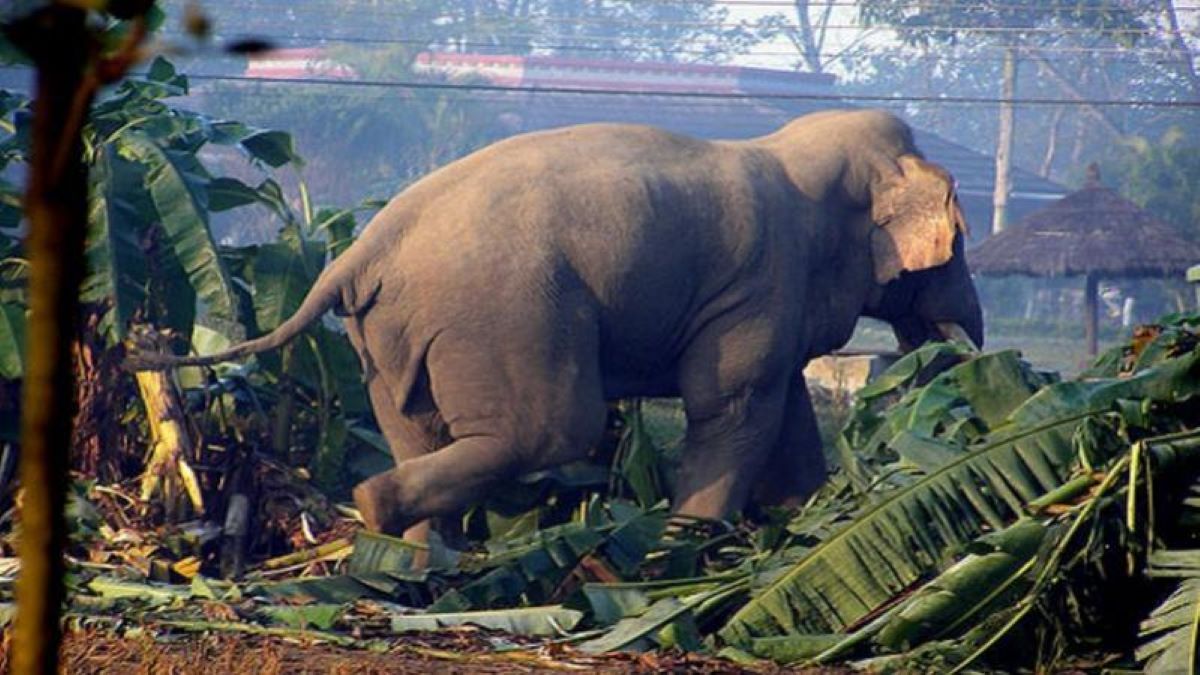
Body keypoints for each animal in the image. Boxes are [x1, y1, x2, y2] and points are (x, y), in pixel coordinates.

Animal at [131, 106, 979, 547]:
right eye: (961, 238)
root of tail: (361, 250)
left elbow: (784, 404)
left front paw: (801, 519)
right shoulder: (761, 278)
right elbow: (734, 402)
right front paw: (690, 543)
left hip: (389, 338)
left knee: (415, 424)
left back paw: (415, 553)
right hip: (508, 313)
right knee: (553, 427)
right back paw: (380, 510)